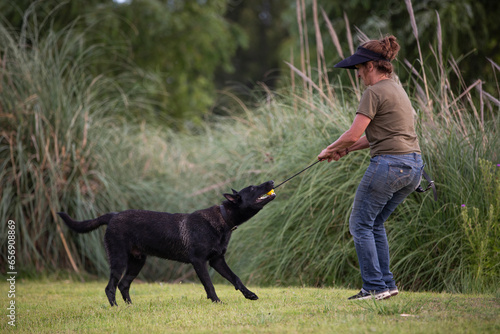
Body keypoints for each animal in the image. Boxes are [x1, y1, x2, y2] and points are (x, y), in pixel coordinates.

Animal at [60, 180, 278, 306]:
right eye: (252, 188)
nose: (271, 180)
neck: (223, 219)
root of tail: (113, 216)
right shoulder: (199, 262)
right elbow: (209, 285)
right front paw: (217, 302)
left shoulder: (217, 261)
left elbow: (236, 278)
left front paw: (249, 295)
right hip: (119, 260)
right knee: (110, 287)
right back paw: (115, 308)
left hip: (137, 262)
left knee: (123, 285)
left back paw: (130, 307)